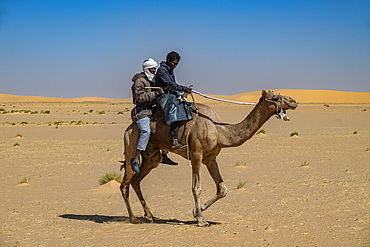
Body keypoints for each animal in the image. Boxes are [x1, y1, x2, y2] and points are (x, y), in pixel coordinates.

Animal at [120, 89, 296, 227]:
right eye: (275, 98)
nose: (294, 101)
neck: (219, 131)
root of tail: (129, 127)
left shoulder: (210, 158)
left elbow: (222, 189)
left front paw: (196, 212)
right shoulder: (196, 154)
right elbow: (196, 188)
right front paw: (201, 220)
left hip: (152, 157)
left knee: (136, 180)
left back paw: (149, 215)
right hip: (131, 144)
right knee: (125, 183)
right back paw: (134, 219)